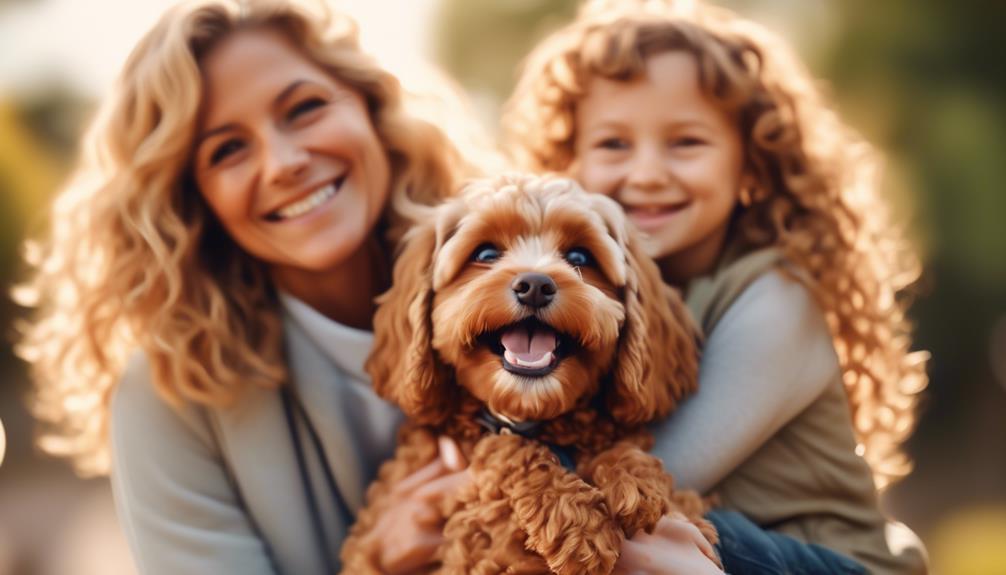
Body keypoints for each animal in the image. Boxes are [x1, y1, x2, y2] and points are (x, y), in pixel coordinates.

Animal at [344, 174, 716, 575]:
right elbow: (509, 448)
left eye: (580, 257)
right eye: (486, 254)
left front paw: (634, 479)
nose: (535, 285)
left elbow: (628, 454)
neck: (528, 414)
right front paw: (576, 521)